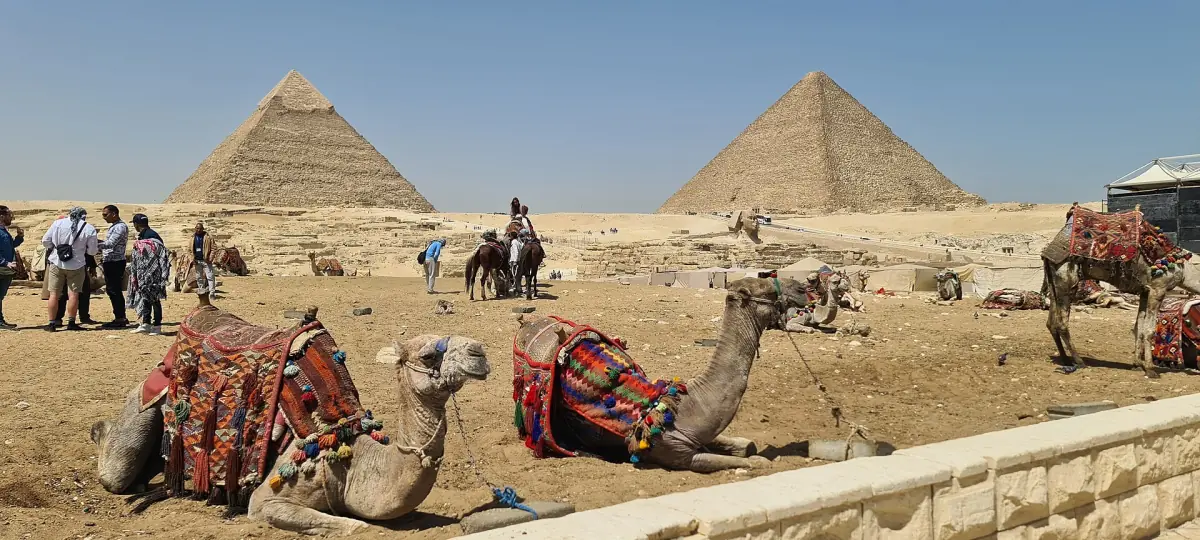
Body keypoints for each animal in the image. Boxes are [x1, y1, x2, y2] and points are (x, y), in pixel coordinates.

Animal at [90, 306, 492, 536]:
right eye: (427, 355)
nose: (480, 352)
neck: (348, 453)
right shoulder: (268, 497)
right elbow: (352, 526)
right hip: (145, 400)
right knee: (117, 471)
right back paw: (103, 434)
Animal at [512, 277, 830, 472]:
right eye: (765, 288)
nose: (803, 287)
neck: (682, 407)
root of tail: (529, 324)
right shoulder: (679, 454)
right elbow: (753, 462)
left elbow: (747, 446)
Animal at [1042, 207, 1200, 377]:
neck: (1182, 269)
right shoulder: (1158, 289)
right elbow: (1149, 330)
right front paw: (1150, 369)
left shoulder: (1145, 291)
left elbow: (1138, 327)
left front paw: (1137, 364)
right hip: (1066, 280)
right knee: (1062, 323)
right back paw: (1079, 361)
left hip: (1054, 282)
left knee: (1051, 323)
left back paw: (1065, 360)